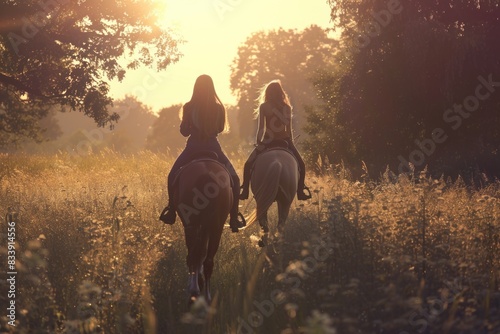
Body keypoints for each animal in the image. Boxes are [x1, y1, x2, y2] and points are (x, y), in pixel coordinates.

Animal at [171, 158, 233, 304]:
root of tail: (207, 174)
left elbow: (197, 253)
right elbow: (202, 252)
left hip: (192, 224)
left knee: (193, 255)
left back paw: (193, 292)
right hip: (216, 227)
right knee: (208, 260)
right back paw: (207, 296)